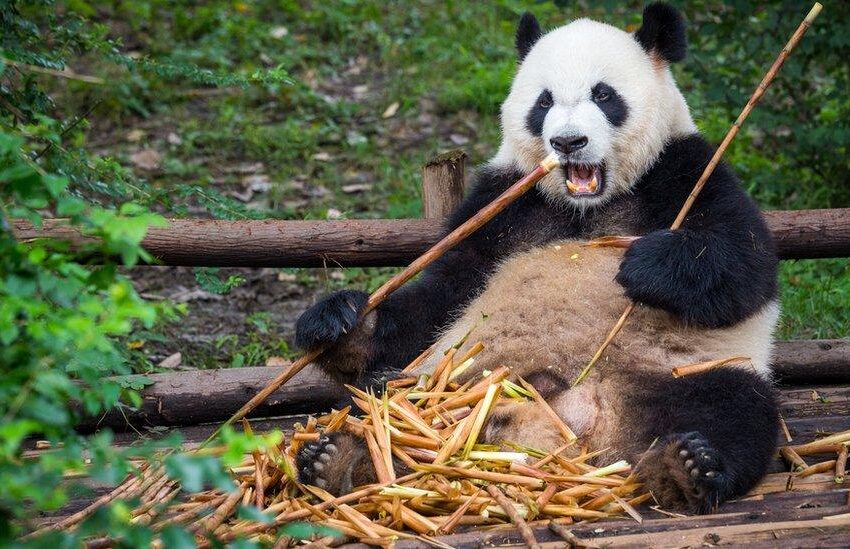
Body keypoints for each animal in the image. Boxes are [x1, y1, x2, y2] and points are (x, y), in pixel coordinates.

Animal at [294, 3, 780, 513]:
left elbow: (744, 264)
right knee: (378, 401)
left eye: (603, 95)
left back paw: (686, 467)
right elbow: (443, 294)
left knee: (733, 407)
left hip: (677, 371)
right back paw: (340, 459)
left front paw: (643, 265)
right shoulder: (502, 202)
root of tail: (571, 420)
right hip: (448, 380)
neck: (586, 206)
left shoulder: (685, 168)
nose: (567, 142)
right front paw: (340, 322)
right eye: (543, 102)